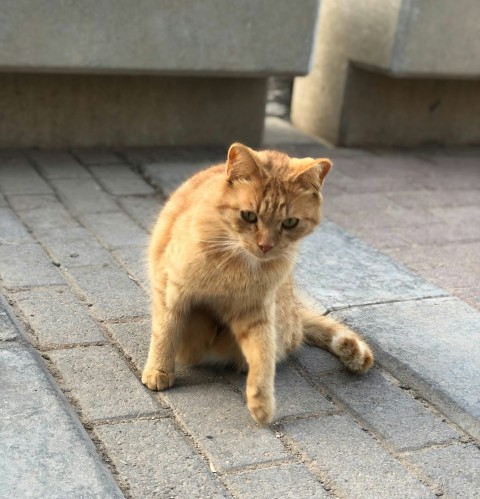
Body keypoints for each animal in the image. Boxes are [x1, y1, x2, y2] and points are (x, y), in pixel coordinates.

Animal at [142, 144, 376, 426]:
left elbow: (263, 354)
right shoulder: (172, 291)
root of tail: (296, 311)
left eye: (289, 222)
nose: (265, 246)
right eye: (248, 216)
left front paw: (261, 401)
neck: (237, 264)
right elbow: (165, 333)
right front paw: (159, 370)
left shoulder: (257, 312)